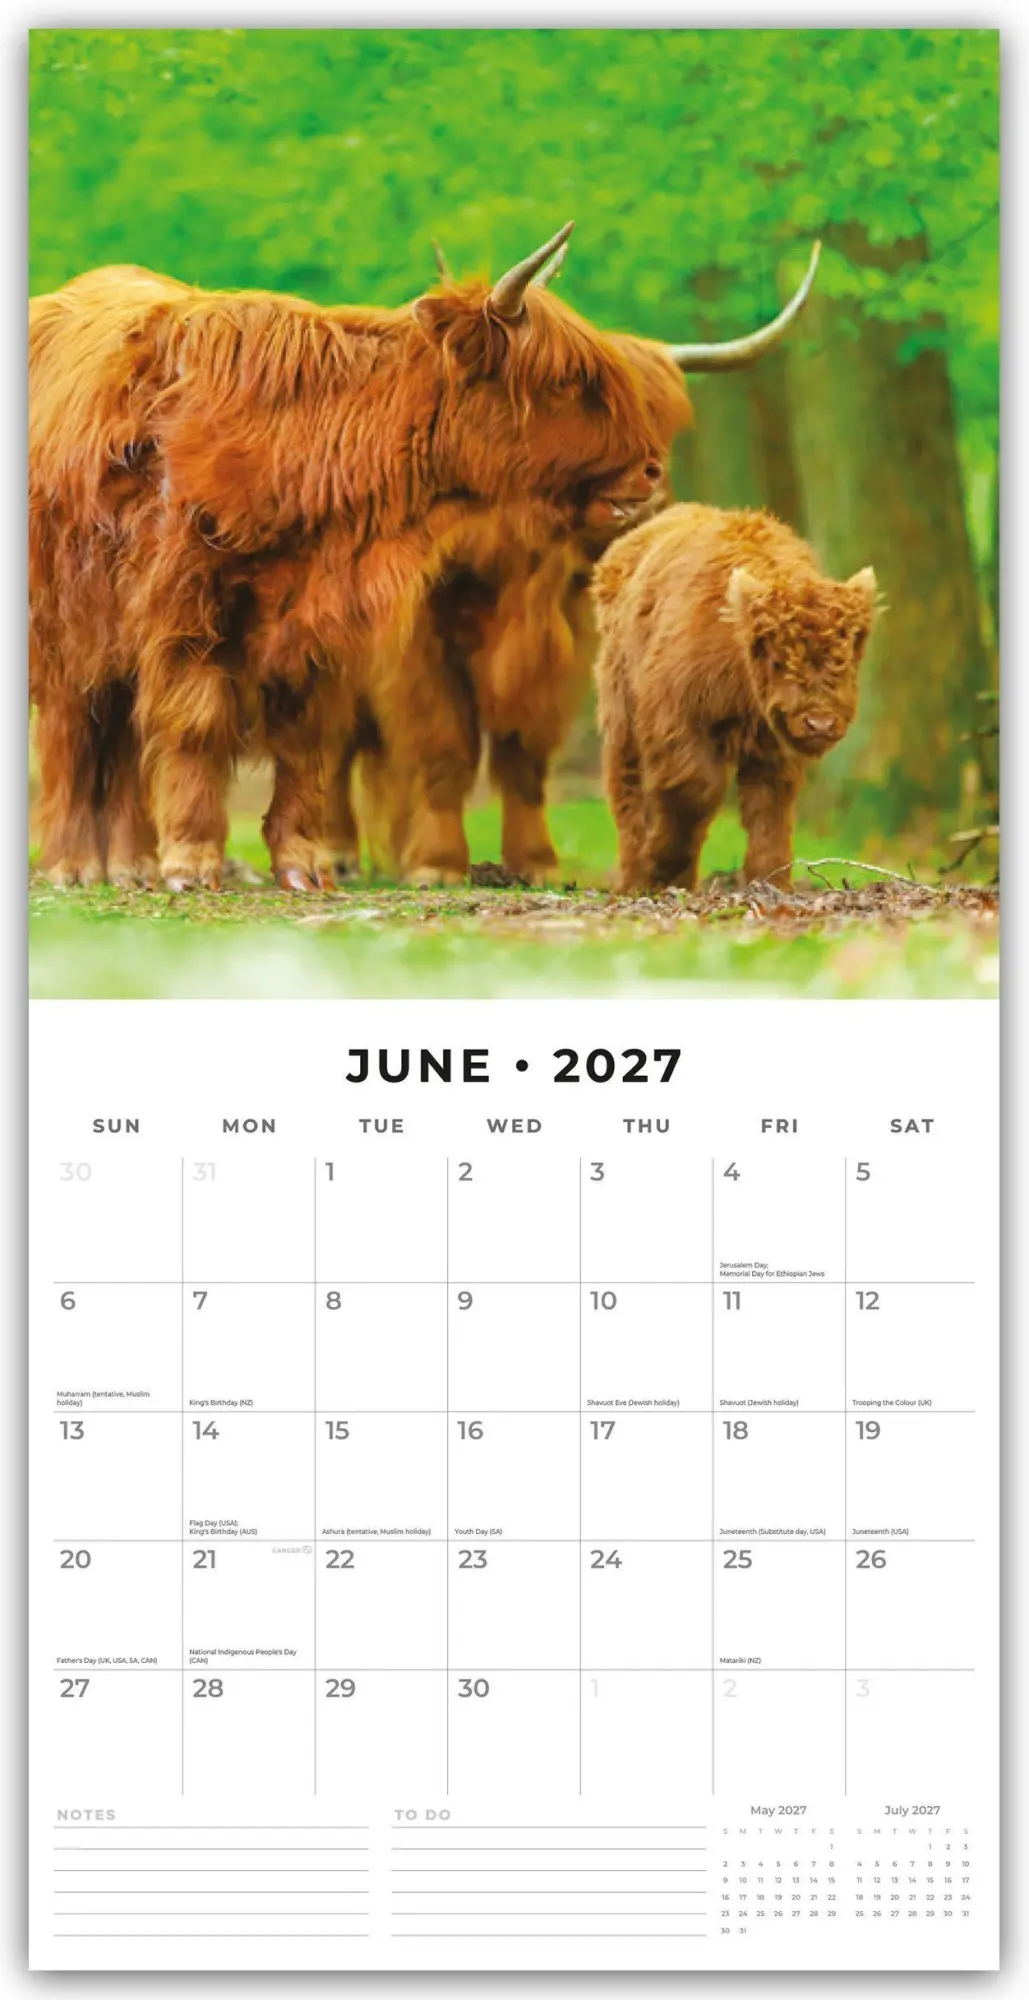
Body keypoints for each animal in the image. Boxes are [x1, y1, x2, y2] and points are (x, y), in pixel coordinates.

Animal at [591, 502, 878, 888]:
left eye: (844, 659)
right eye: (777, 660)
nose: (819, 722)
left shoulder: (773, 744)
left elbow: (769, 809)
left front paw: (771, 881)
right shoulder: (676, 722)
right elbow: (696, 790)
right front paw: (660, 862)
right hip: (623, 715)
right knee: (628, 789)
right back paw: (638, 877)